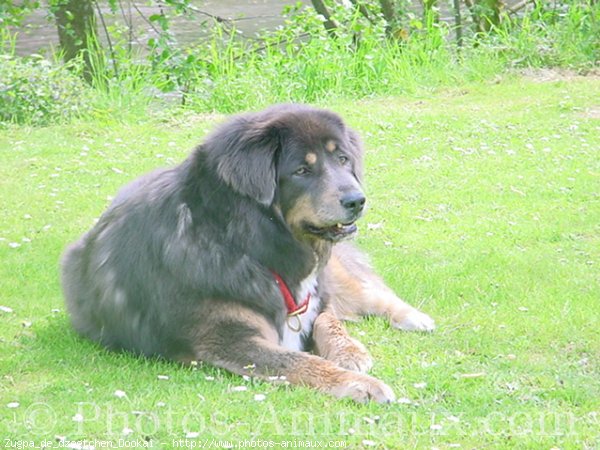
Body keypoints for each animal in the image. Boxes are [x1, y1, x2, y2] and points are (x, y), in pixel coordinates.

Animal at [62, 103, 436, 402]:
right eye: (302, 170)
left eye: (342, 159)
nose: (357, 200)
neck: (250, 243)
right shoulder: (231, 340)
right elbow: (302, 361)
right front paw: (361, 383)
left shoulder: (316, 294)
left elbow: (327, 319)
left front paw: (349, 351)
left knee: (368, 293)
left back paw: (414, 317)